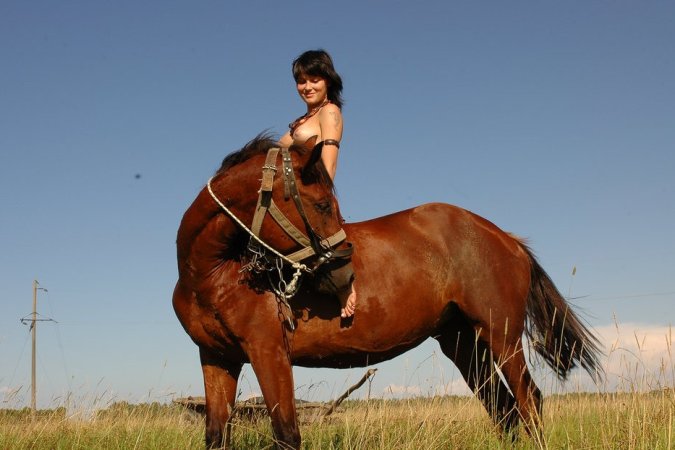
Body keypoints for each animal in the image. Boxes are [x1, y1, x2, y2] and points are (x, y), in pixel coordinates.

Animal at [173, 134, 602, 449]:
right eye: (322, 203)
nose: (345, 271)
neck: (213, 274)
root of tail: (508, 239)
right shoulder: (217, 358)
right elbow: (216, 435)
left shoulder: (269, 354)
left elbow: (287, 434)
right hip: (464, 343)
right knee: (504, 409)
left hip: (502, 337)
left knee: (529, 402)